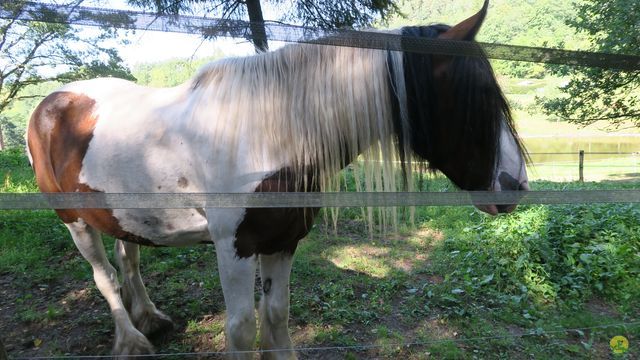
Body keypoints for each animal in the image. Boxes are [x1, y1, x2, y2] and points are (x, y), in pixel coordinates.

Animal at [27, 0, 528, 358]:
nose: (515, 186)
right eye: (481, 95)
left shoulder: (283, 242)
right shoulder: (234, 249)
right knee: (105, 276)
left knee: (127, 257)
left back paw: (149, 317)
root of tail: (52, 103)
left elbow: (277, 317)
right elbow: (242, 329)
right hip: (74, 220)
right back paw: (131, 340)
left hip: (118, 210)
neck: (266, 136)